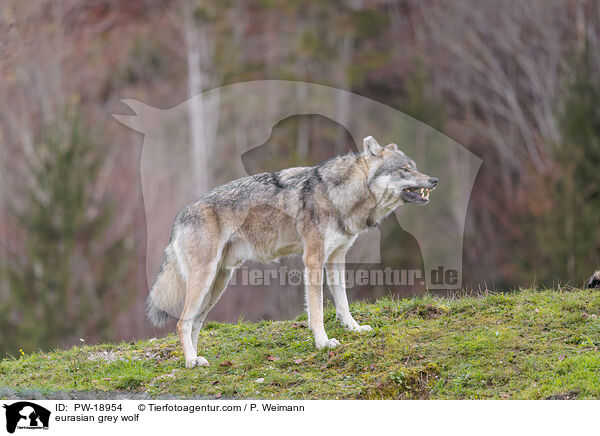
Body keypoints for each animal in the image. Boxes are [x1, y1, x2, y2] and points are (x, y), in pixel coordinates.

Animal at [145, 136, 436, 368]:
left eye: (415, 166)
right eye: (404, 169)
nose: (434, 180)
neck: (338, 195)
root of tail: (180, 215)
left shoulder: (337, 259)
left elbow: (342, 302)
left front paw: (353, 328)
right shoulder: (313, 259)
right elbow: (317, 310)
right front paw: (323, 343)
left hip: (217, 284)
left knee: (195, 323)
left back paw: (197, 359)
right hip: (204, 281)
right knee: (182, 323)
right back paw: (190, 362)